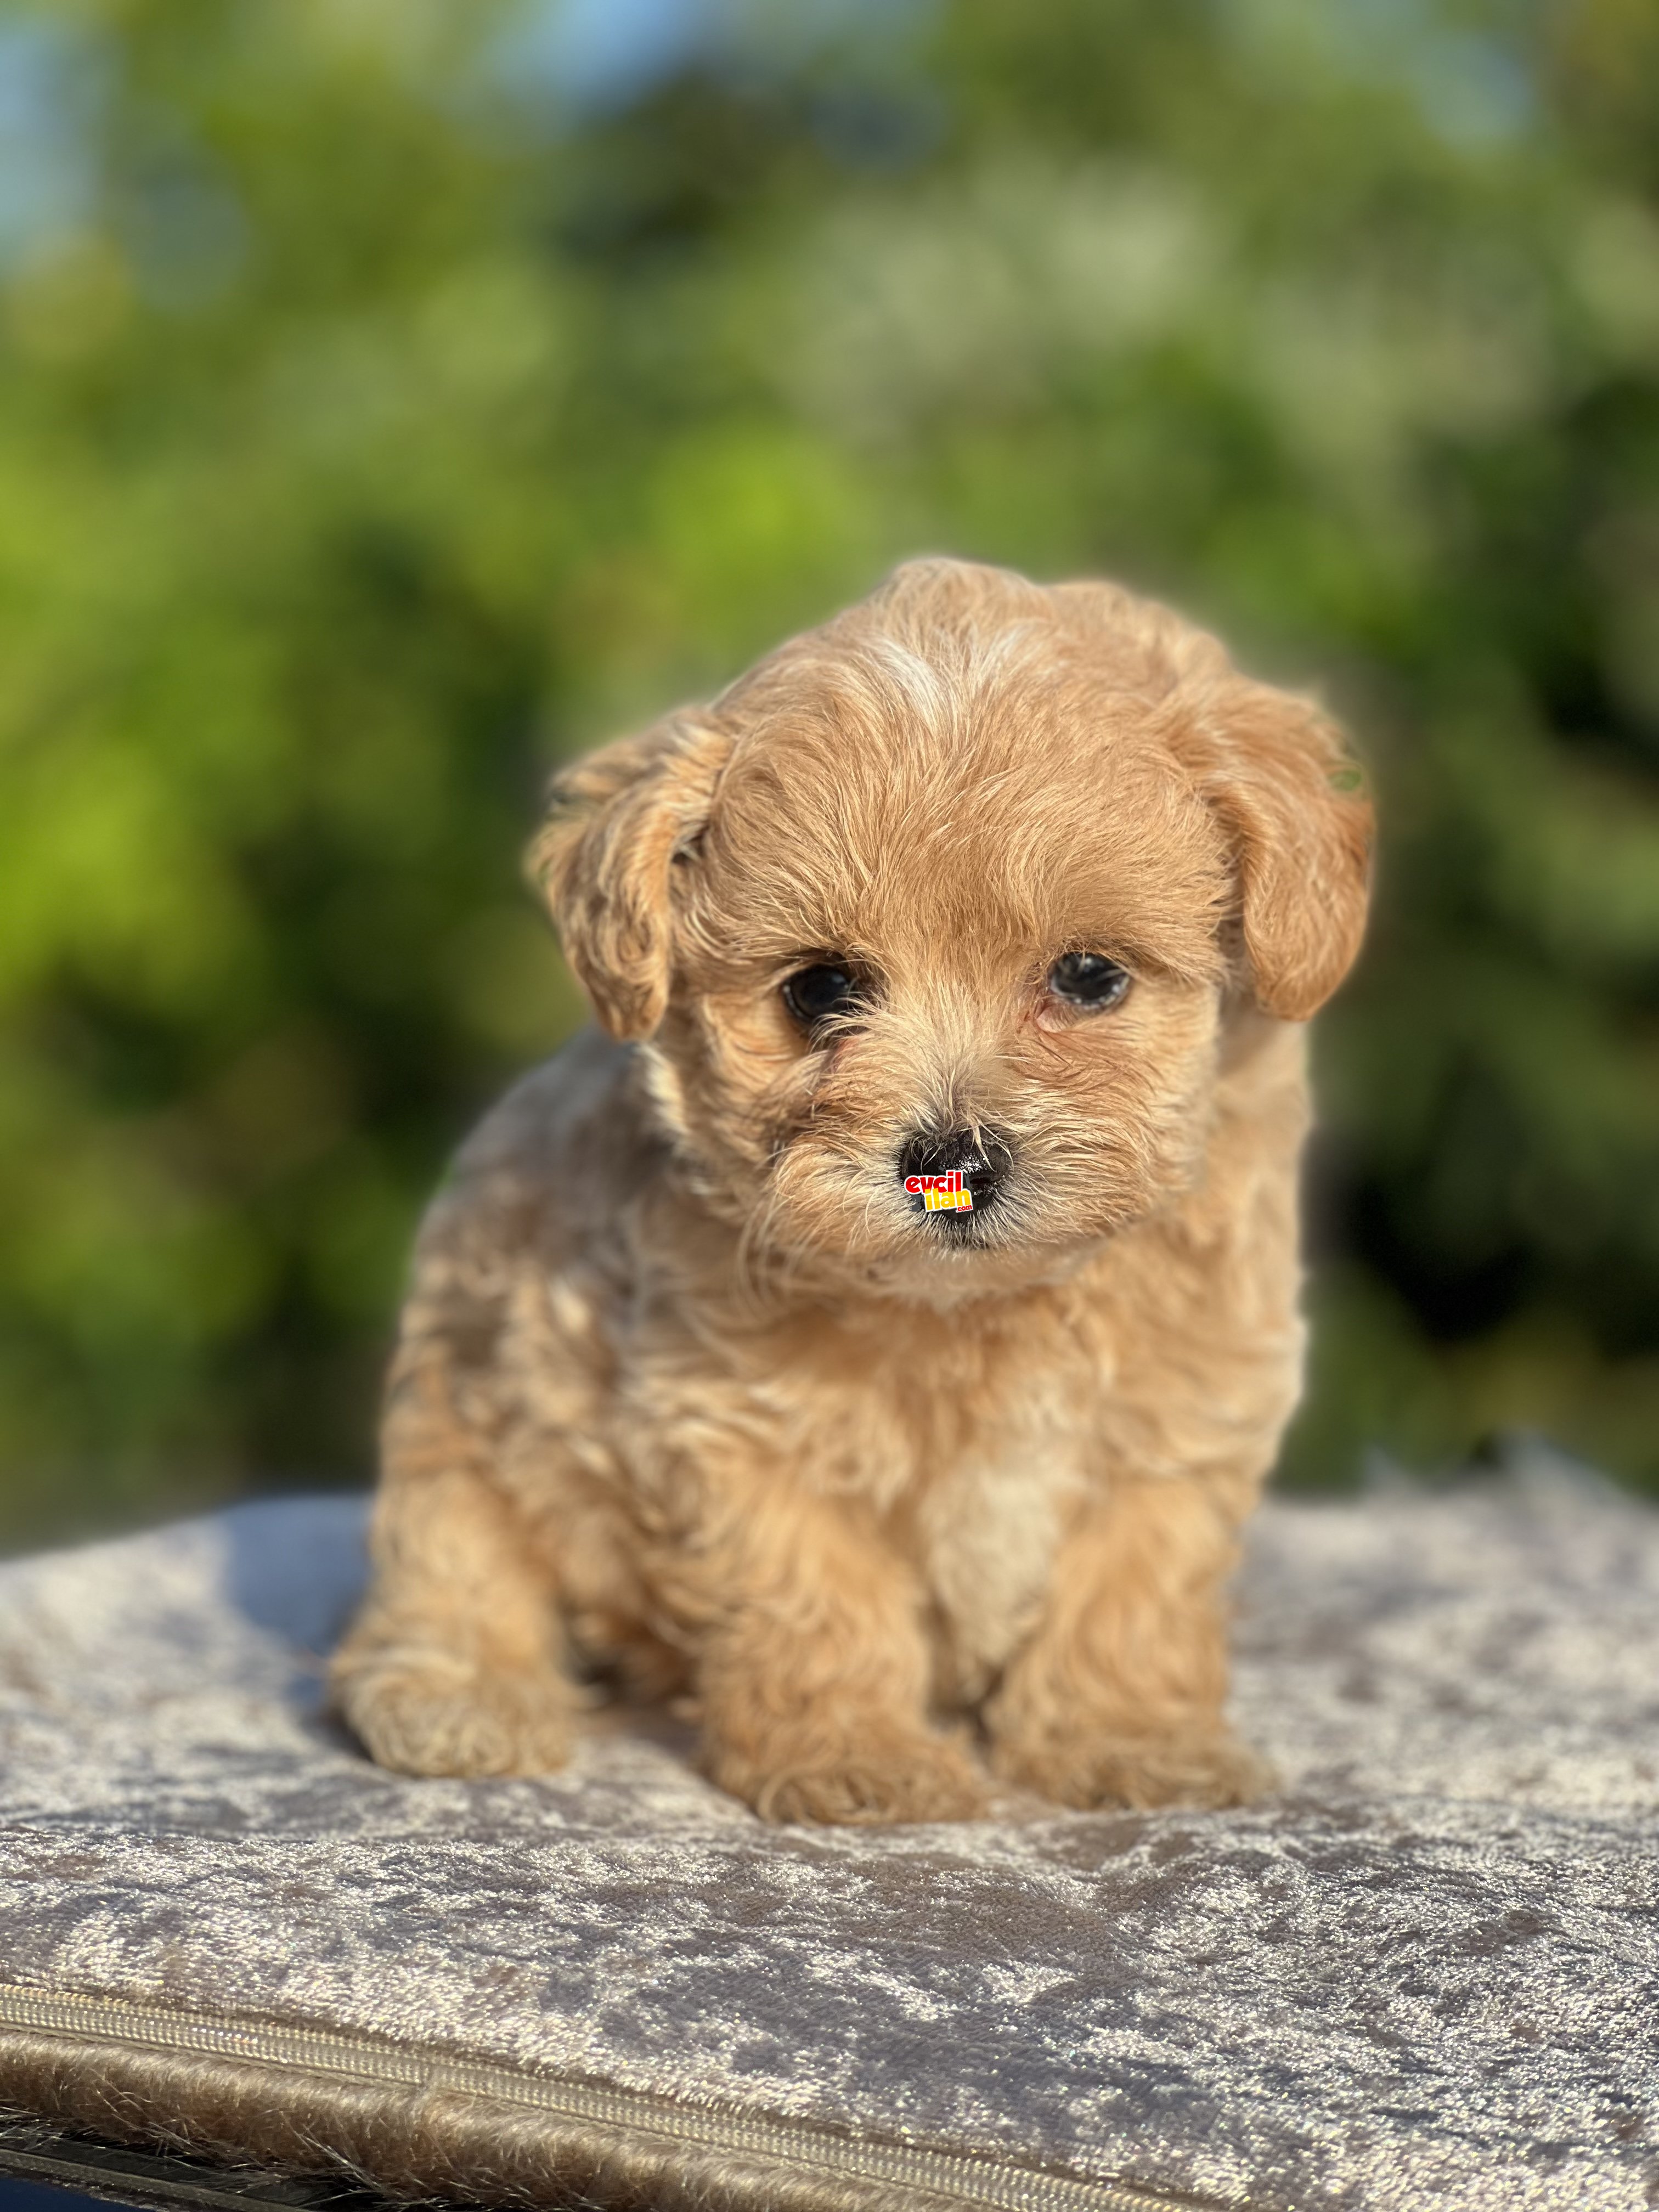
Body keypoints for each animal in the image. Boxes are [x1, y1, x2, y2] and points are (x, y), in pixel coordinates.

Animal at [331, 553, 1371, 1814]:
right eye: (819, 988)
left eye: (1087, 975)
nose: (949, 1160)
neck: (980, 1314)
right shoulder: (738, 1423)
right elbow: (815, 1594)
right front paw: (853, 1759)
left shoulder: (1187, 1406)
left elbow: (1134, 1584)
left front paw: (1132, 1743)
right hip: (465, 1406)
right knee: (450, 1568)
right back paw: (463, 1699)